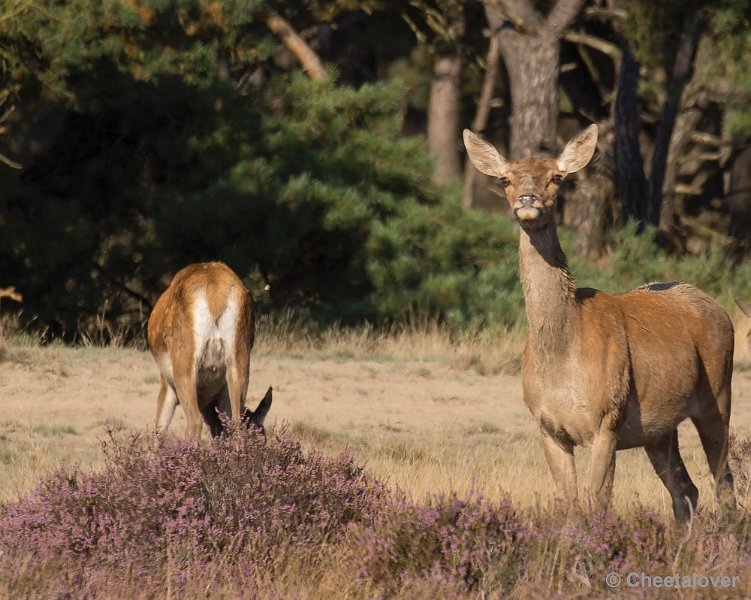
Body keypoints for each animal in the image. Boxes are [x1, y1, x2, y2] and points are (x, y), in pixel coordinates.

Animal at [148, 260, 274, 438]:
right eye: (264, 439)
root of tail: (216, 293)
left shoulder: (166, 381)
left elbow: (159, 431)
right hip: (239, 356)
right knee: (235, 422)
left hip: (184, 358)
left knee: (194, 422)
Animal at [464, 125, 736, 520]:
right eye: (506, 179)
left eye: (556, 177)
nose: (528, 199)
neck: (562, 353)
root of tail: (718, 307)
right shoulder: (546, 426)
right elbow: (569, 503)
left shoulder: (607, 418)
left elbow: (597, 502)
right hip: (659, 428)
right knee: (686, 489)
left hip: (718, 392)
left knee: (724, 483)